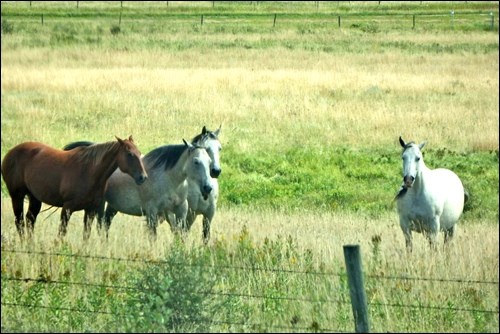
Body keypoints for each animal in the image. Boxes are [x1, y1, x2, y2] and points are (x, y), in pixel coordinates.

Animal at [0, 136, 147, 240]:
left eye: (139, 152)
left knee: (30, 220)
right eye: (129, 154)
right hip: (17, 196)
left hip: (35, 198)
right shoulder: (67, 208)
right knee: (19, 222)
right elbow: (62, 233)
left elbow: (86, 234)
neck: (89, 171)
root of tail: (10, 153)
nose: (143, 177)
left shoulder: (90, 210)